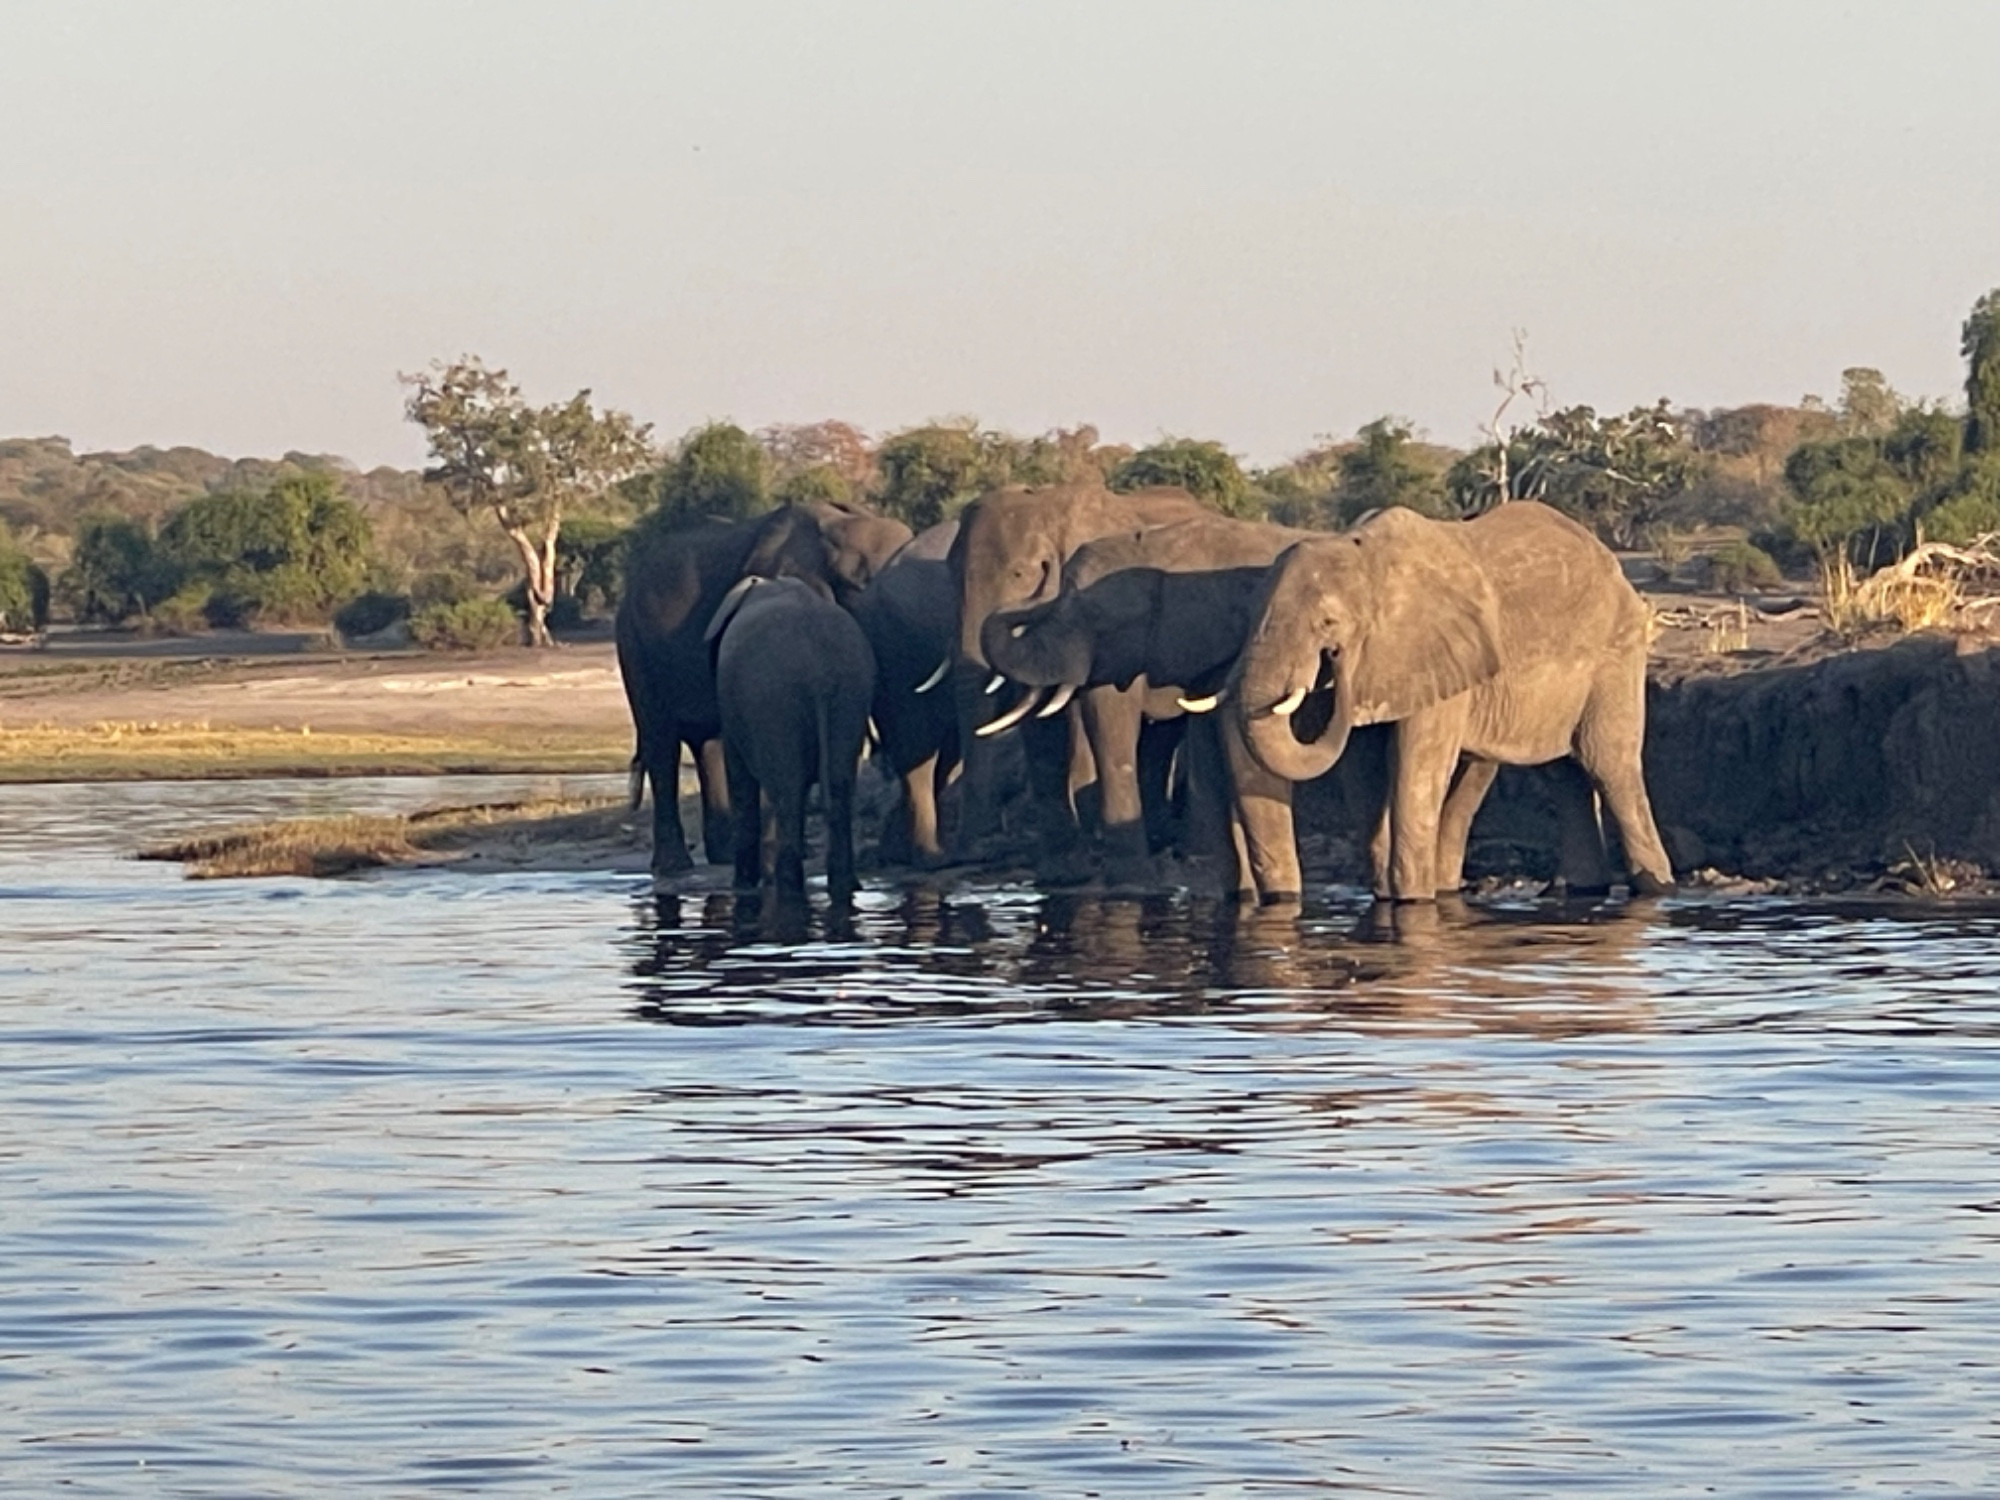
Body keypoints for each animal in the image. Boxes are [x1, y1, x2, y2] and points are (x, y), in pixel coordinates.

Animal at [712, 576, 884, 904]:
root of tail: (819, 670)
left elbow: (741, 783)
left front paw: (743, 887)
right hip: (851, 693)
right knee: (840, 788)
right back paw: (845, 886)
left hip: (775, 700)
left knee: (788, 794)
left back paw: (788, 887)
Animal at [948, 482, 1208, 880]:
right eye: (948, 573)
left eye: (1020, 574)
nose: (979, 853)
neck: (1049, 506)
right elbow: (1042, 728)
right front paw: (1064, 873)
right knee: (1160, 737)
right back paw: (1158, 839)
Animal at [1232, 506, 1672, 904]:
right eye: (1250, 612)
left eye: (1327, 623)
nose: (1334, 660)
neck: (1369, 558)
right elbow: (1365, 768)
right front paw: (1388, 898)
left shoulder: (1437, 653)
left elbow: (1417, 767)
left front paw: (1414, 901)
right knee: (1562, 772)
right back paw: (1579, 891)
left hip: (1616, 651)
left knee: (1608, 764)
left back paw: (1656, 888)